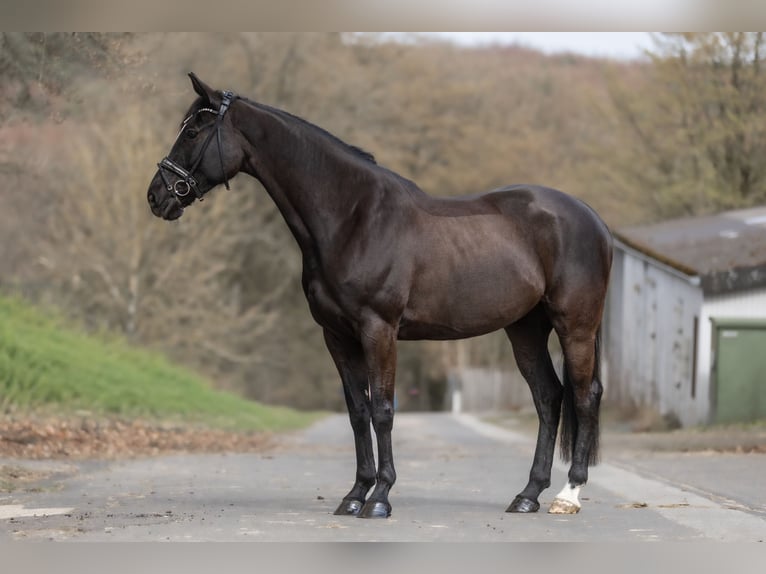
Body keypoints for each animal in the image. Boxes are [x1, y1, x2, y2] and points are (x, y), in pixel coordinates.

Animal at [146, 73, 613, 519]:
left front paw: (381, 498)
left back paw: (568, 495)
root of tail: (593, 219)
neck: (354, 218)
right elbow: (357, 412)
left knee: (584, 396)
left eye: (193, 132)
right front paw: (355, 495)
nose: (157, 196)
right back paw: (527, 495)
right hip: (525, 329)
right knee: (548, 398)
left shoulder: (379, 330)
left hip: (574, 326)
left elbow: (383, 410)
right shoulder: (337, 335)